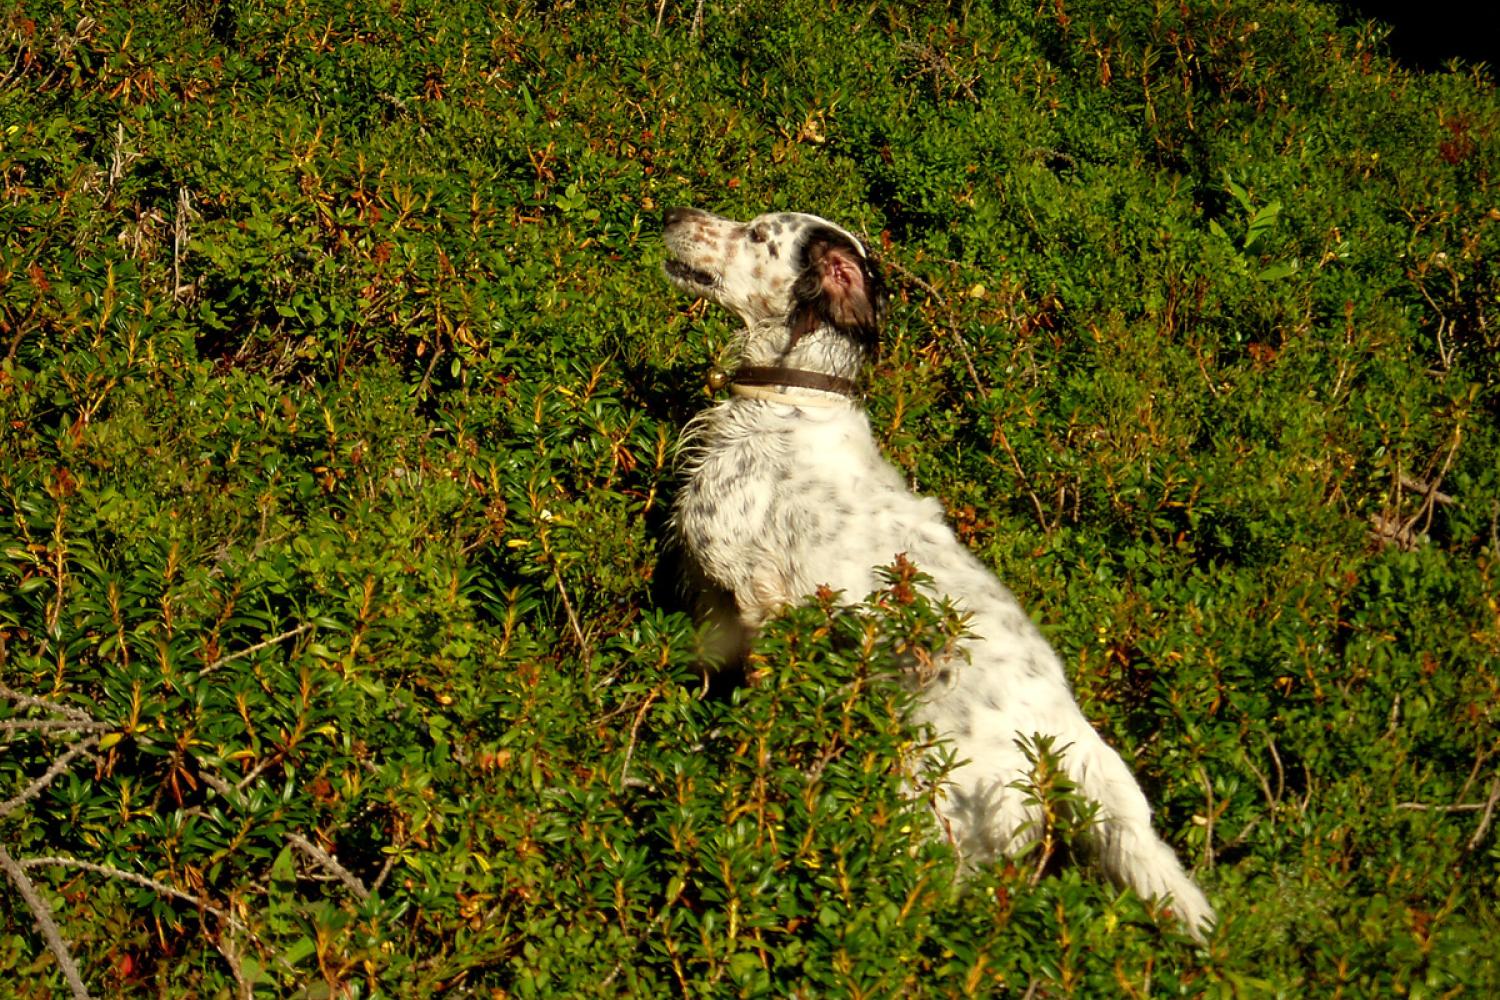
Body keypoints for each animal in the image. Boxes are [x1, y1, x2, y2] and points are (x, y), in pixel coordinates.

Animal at [663, 206, 1212, 941]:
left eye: (755, 235)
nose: (674, 214)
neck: (791, 399)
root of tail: (1069, 742)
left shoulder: (741, 595)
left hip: (928, 807)